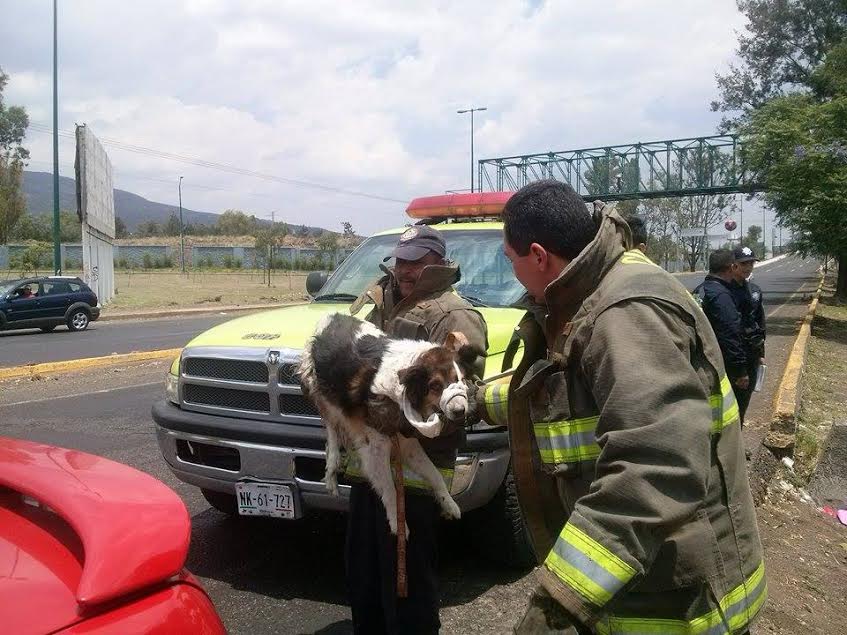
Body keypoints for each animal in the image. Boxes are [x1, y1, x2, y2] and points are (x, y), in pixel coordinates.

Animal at [300, 314, 484, 536]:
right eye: (435, 386)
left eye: (461, 380)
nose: (460, 411)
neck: (402, 389)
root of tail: (332, 316)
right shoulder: (375, 449)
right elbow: (389, 490)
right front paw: (398, 523)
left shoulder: (407, 442)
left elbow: (435, 474)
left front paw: (448, 503)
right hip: (323, 394)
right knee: (332, 429)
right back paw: (332, 468)